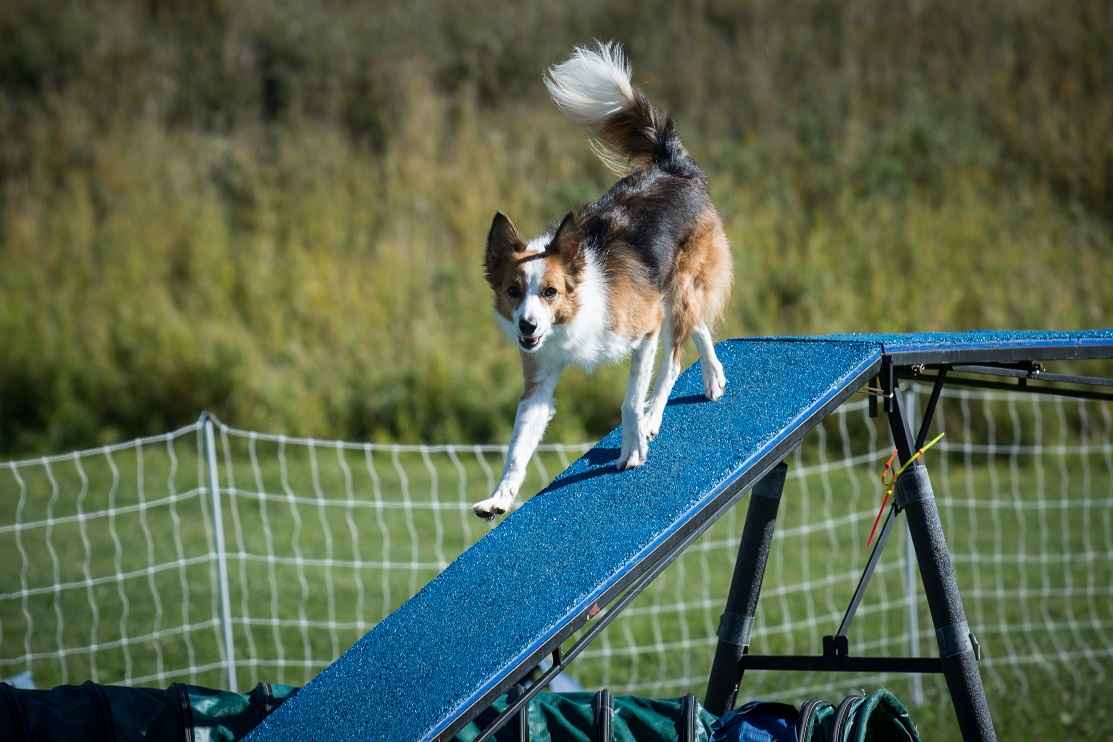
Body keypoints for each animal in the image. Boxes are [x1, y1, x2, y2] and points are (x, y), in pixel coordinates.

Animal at [474, 43, 734, 520]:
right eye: (513, 292)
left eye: (550, 292)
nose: (527, 326)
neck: (570, 317)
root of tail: (675, 167)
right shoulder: (539, 380)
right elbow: (518, 446)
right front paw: (500, 498)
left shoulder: (645, 327)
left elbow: (630, 398)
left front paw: (633, 445)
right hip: (677, 292)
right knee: (699, 327)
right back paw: (713, 377)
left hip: (677, 293)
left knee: (674, 358)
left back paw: (654, 417)